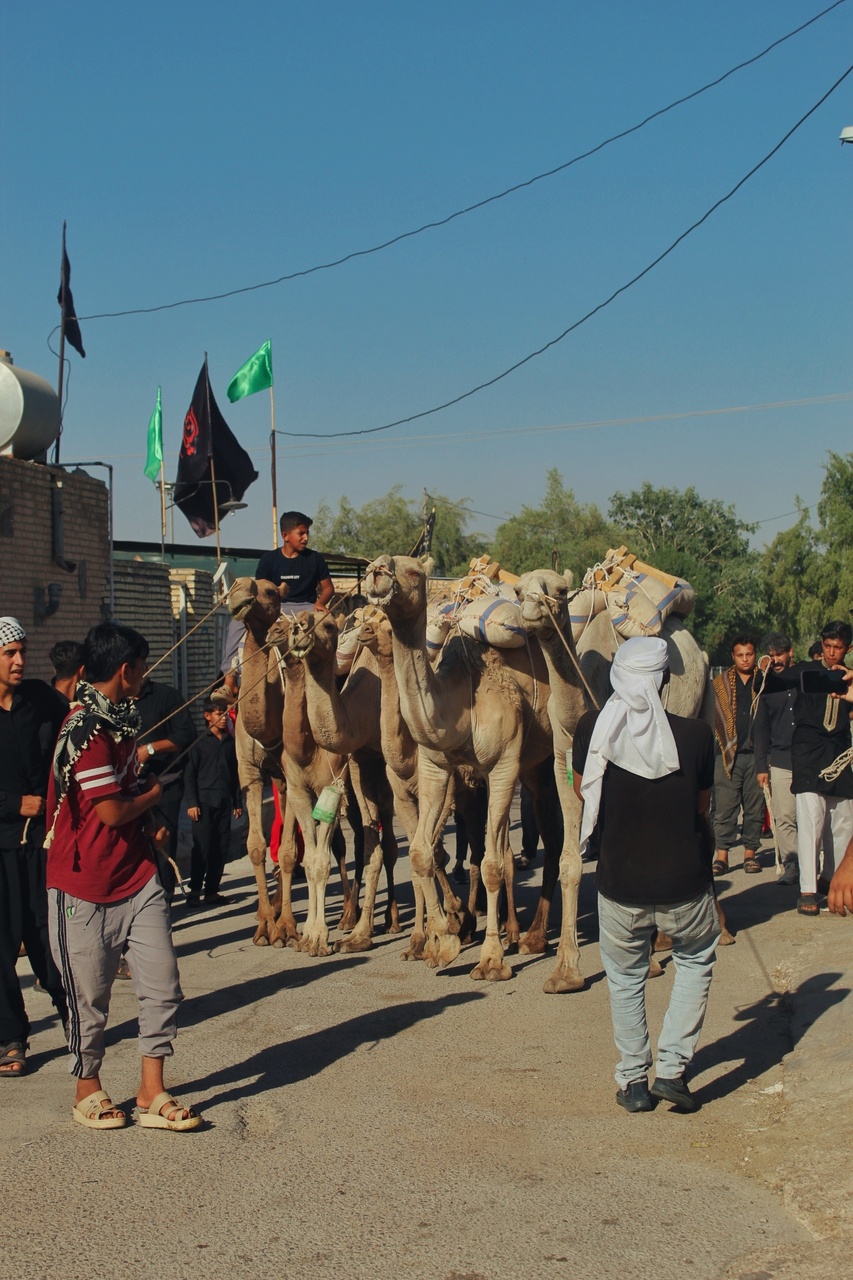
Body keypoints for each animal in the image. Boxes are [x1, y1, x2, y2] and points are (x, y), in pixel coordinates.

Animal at [361, 552, 560, 977]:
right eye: (376, 564)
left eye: (414, 572)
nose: (377, 571)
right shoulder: (437, 767)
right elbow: (422, 852)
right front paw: (445, 940)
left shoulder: (502, 764)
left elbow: (491, 864)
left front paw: (491, 960)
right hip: (531, 766)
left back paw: (534, 938)